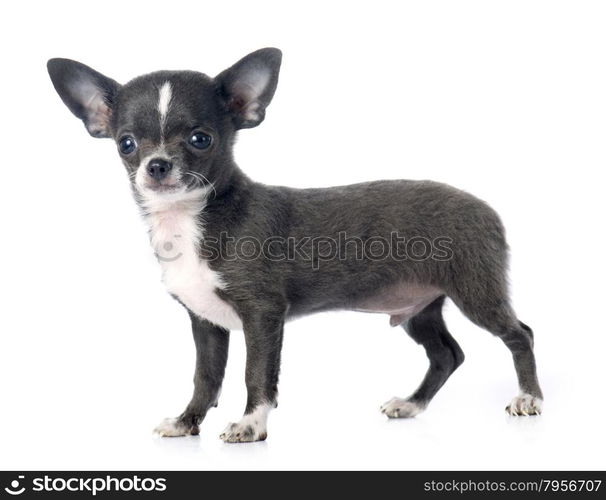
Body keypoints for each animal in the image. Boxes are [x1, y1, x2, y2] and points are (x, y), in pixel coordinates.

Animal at [46, 48, 540, 444]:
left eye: (200, 139)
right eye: (126, 144)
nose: (157, 165)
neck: (192, 219)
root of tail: (487, 210)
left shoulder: (263, 314)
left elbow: (257, 374)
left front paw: (251, 426)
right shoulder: (206, 322)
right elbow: (205, 378)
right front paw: (187, 423)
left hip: (475, 292)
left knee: (520, 334)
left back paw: (528, 397)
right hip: (420, 307)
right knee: (446, 354)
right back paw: (412, 404)